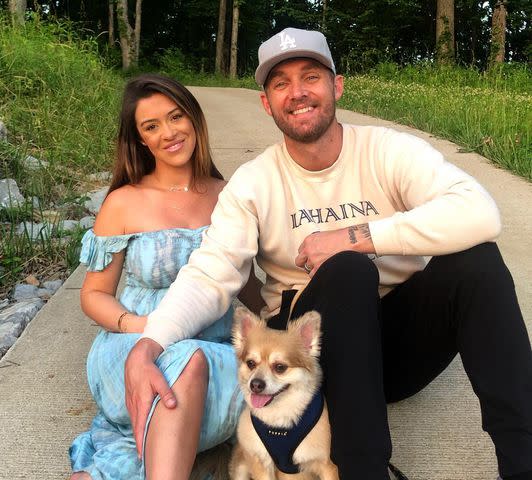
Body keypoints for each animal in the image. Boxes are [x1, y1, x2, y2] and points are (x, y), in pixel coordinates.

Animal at [228, 308, 336, 480]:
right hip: (241, 468)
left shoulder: (326, 464)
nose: (255, 384)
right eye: (251, 363)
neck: (279, 419)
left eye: (280, 367)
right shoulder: (260, 460)